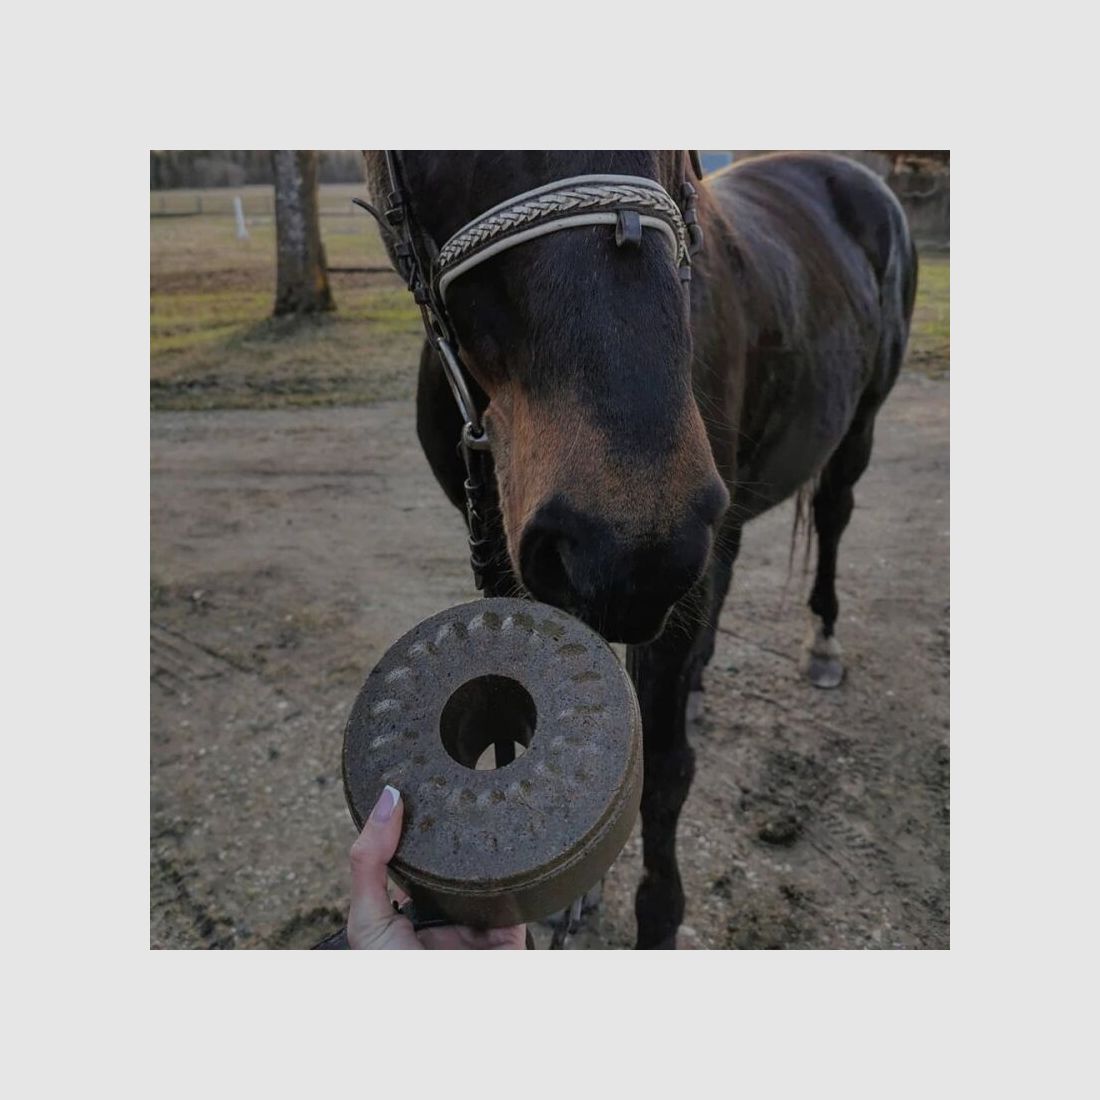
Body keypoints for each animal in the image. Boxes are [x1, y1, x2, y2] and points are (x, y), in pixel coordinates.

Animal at [362, 150, 917, 949]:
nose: (634, 541)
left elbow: (663, 768)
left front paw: (656, 911)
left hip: (852, 430)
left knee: (833, 515)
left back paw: (821, 642)